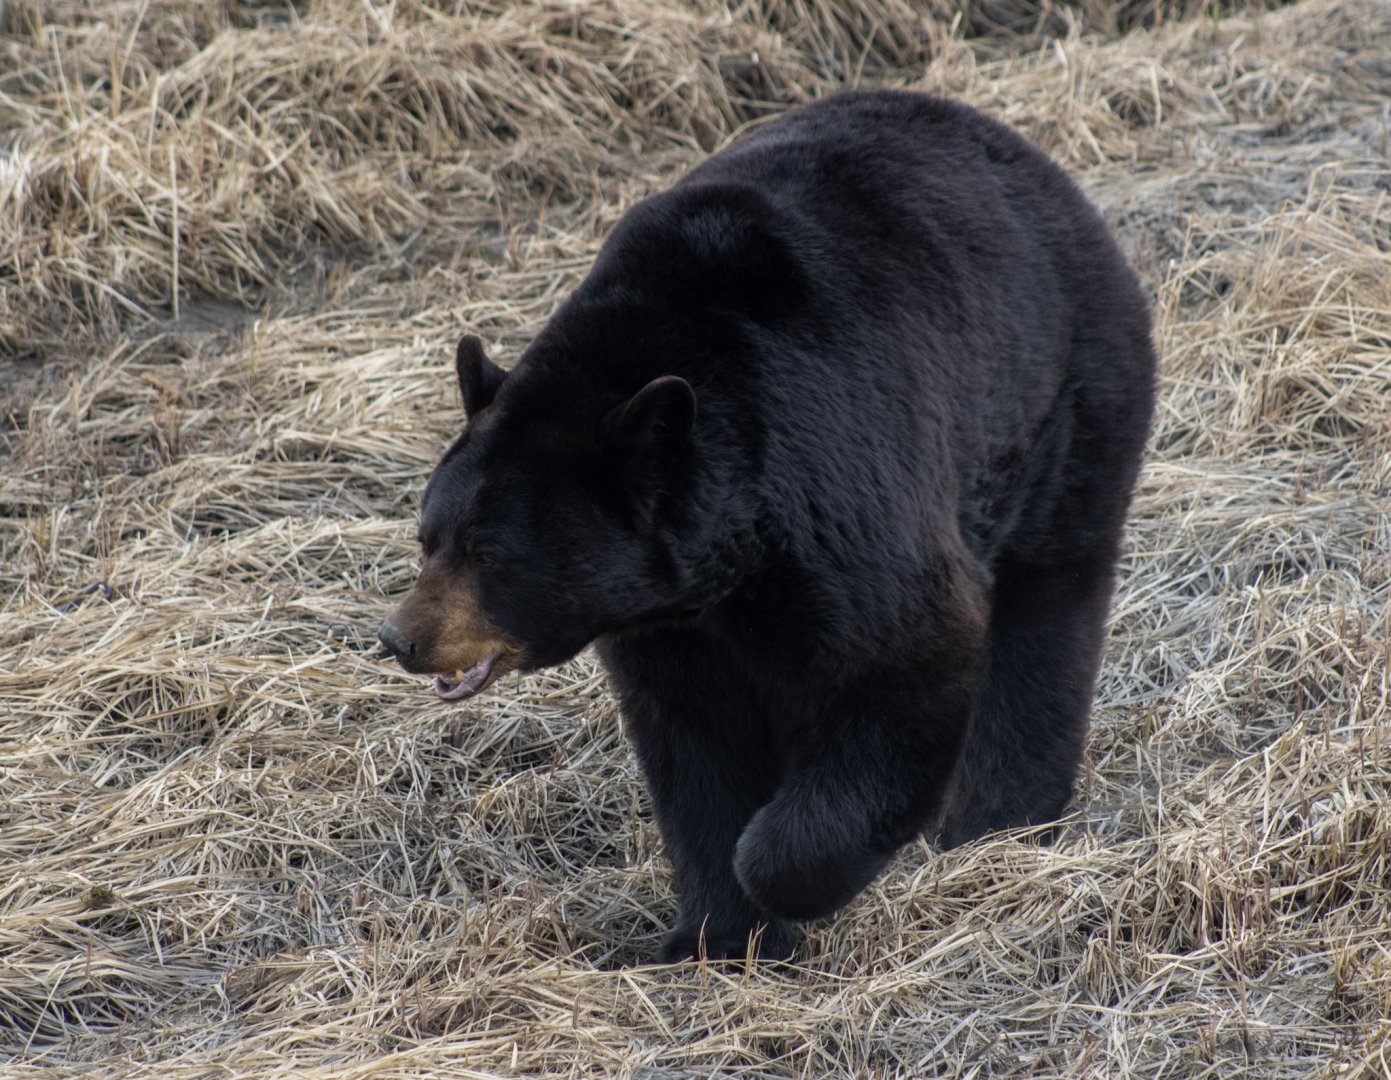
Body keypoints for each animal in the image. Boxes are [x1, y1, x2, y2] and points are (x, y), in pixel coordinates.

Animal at [377, 89, 1156, 963]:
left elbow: (907, 654)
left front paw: (779, 875)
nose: (399, 637)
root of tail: (1033, 160)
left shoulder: (835, 488)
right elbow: (695, 750)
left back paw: (1003, 818)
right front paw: (717, 933)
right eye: (427, 537)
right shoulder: (670, 628)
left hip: (1060, 402)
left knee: (1046, 599)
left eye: (491, 552)